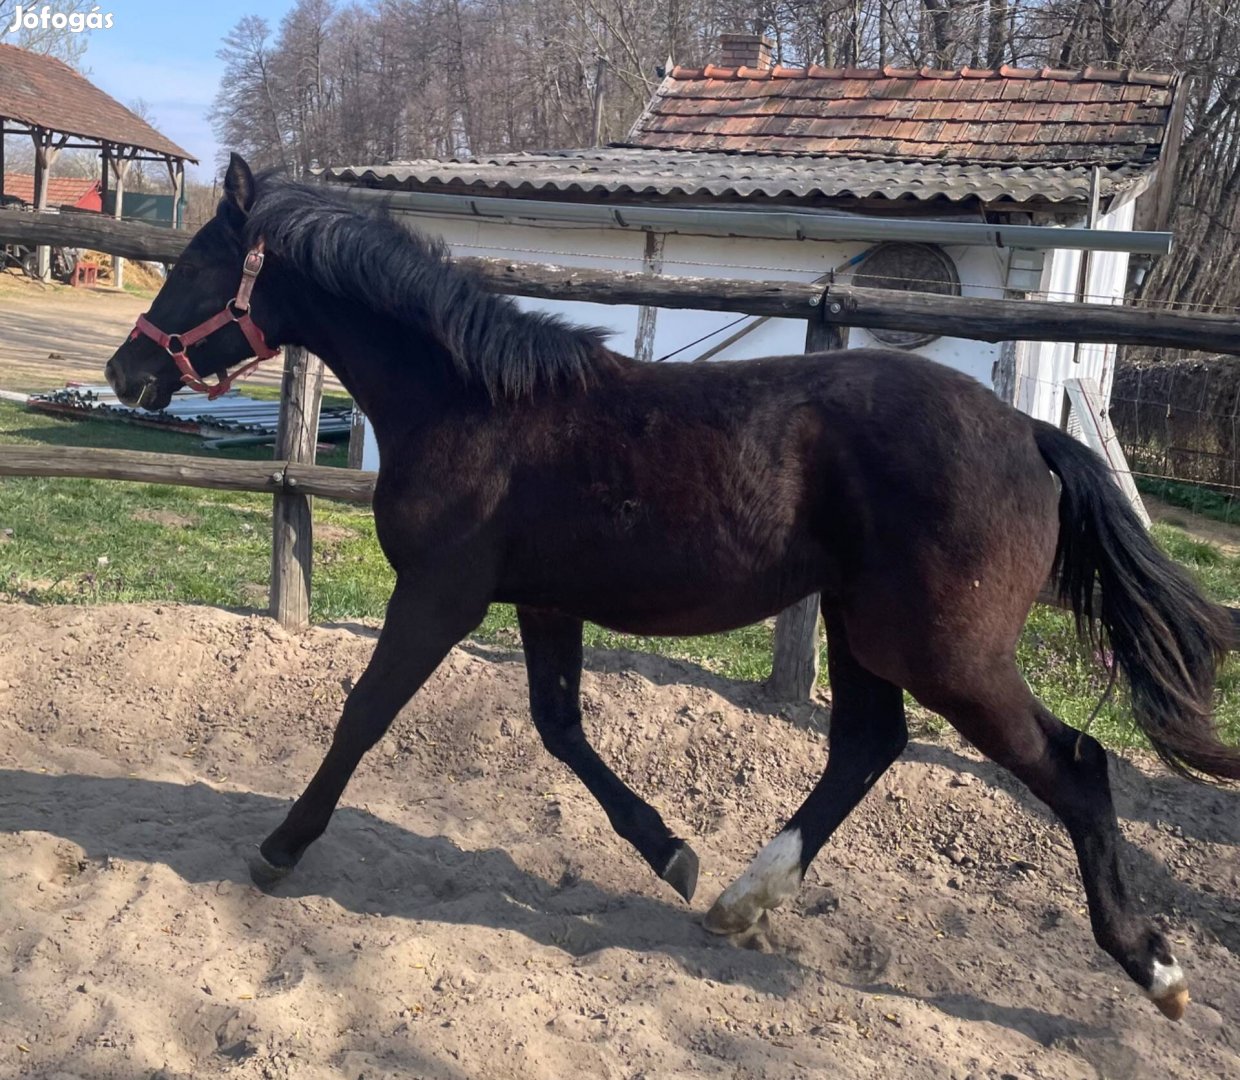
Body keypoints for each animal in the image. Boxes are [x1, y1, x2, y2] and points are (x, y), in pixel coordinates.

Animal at [104, 153, 1239, 1022]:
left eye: (200, 264)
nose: (127, 374)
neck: (473, 406)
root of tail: (1031, 433)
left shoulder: (438, 596)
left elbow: (365, 713)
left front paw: (277, 850)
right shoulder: (542, 600)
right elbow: (561, 729)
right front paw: (673, 855)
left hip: (945, 653)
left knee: (1076, 767)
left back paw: (1156, 967)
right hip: (864, 628)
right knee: (865, 748)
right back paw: (739, 900)